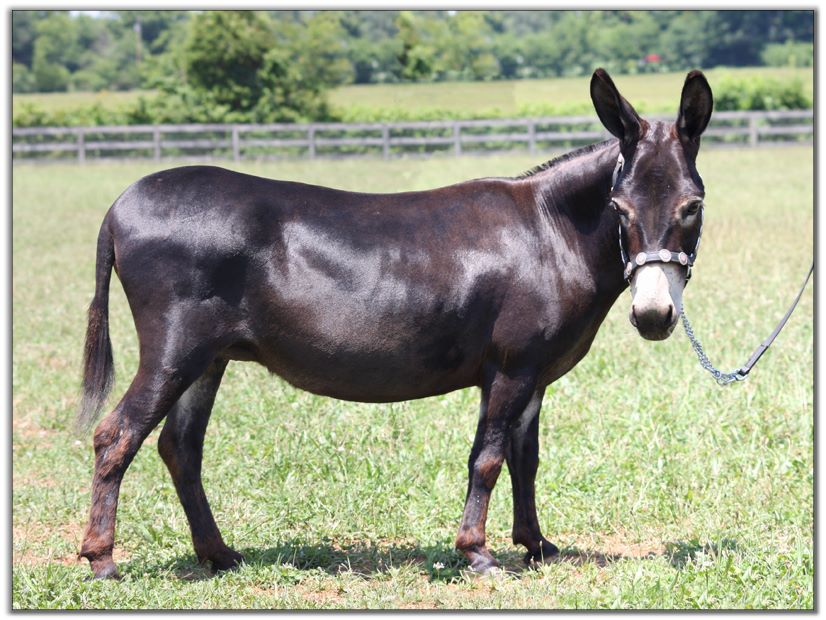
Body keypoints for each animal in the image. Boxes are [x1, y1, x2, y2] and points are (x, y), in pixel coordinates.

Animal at [78, 68, 713, 579]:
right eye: (619, 209)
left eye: (692, 207)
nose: (654, 316)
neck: (551, 231)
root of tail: (118, 205)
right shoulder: (510, 370)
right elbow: (487, 458)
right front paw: (477, 553)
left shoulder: (534, 374)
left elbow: (524, 460)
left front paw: (535, 545)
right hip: (175, 347)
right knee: (117, 435)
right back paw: (102, 558)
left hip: (207, 358)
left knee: (180, 447)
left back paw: (218, 555)